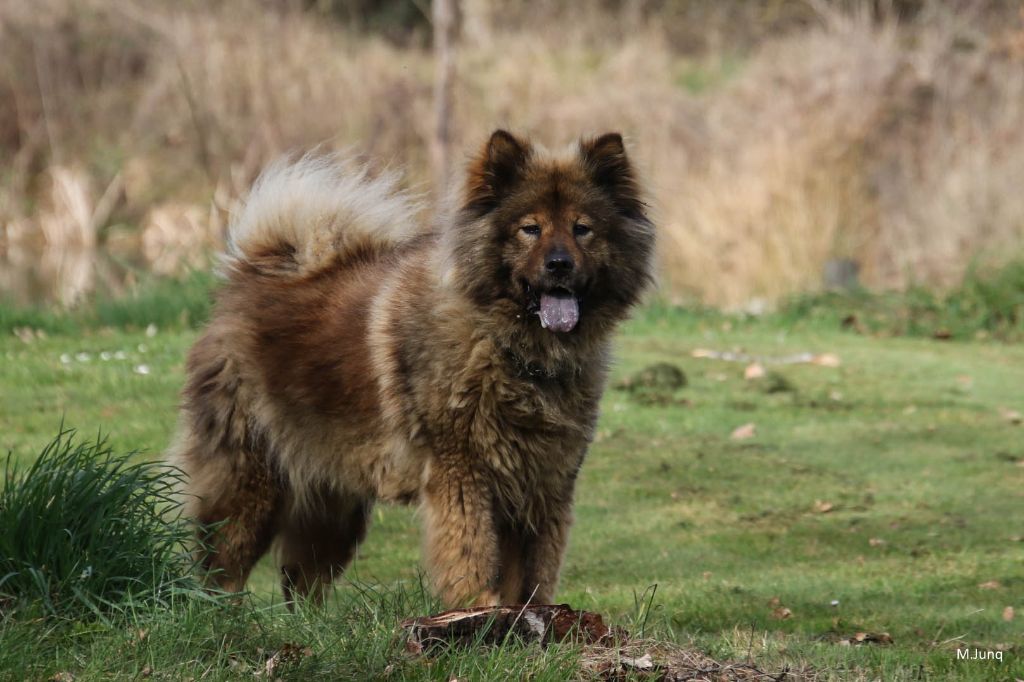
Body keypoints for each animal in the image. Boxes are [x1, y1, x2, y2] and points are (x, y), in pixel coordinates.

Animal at [171, 129, 655, 606]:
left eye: (582, 229)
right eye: (530, 229)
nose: (559, 264)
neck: (511, 351)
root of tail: (247, 280)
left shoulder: (544, 482)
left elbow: (534, 570)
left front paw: (527, 615)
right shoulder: (462, 471)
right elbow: (472, 552)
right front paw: (478, 609)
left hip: (333, 501)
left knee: (301, 581)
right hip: (252, 481)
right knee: (223, 567)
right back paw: (224, 616)